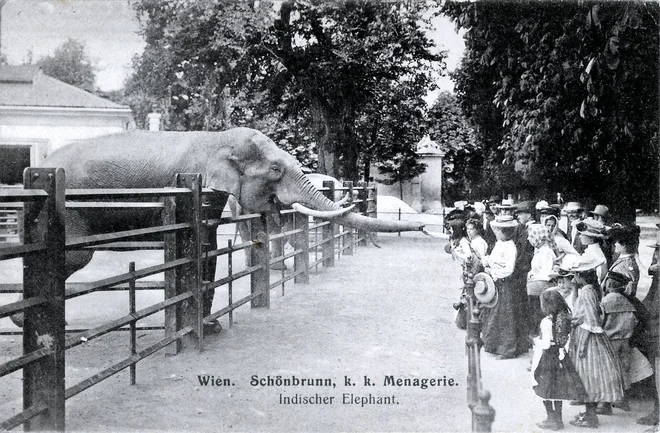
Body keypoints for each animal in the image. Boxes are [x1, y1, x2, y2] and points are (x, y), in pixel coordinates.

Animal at [10, 127, 426, 328]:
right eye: (275, 169)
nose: (423, 226)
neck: (217, 138)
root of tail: (34, 172)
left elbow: (208, 249)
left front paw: (208, 327)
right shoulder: (197, 186)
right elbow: (202, 247)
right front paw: (210, 330)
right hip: (69, 211)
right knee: (76, 257)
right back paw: (26, 320)